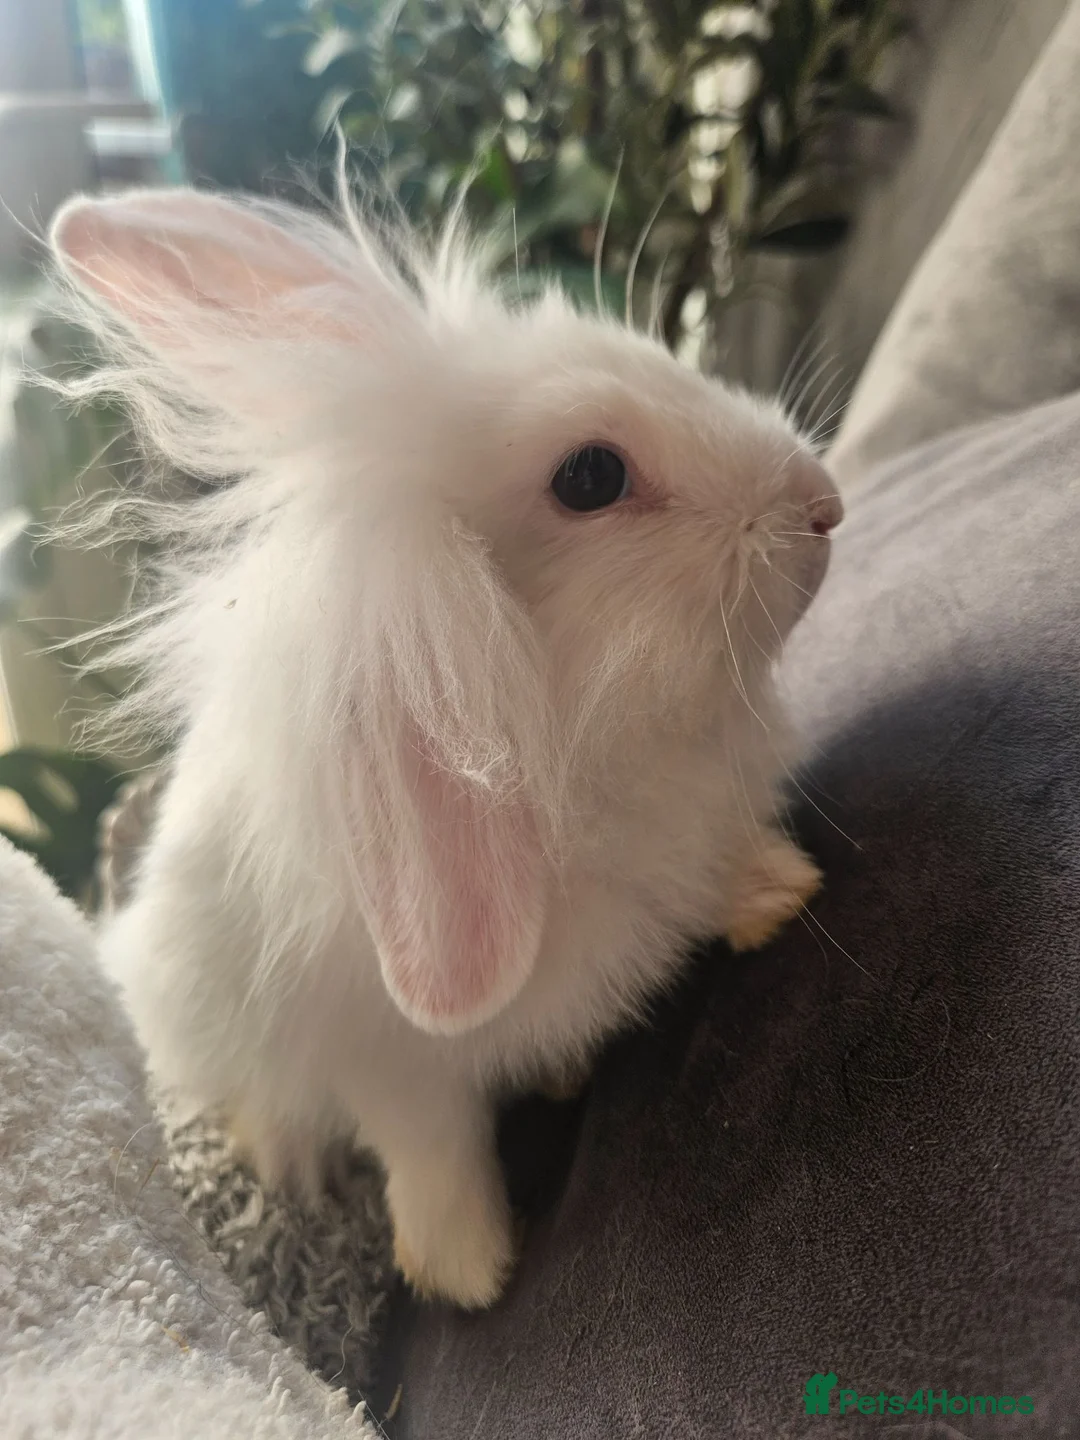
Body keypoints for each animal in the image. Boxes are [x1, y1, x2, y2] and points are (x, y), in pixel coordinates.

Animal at [49, 186, 841, 1309]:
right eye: (591, 476)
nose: (825, 503)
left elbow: (713, 874)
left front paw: (776, 892)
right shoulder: (387, 1061)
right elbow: (431, 1149)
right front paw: (467, 1272)